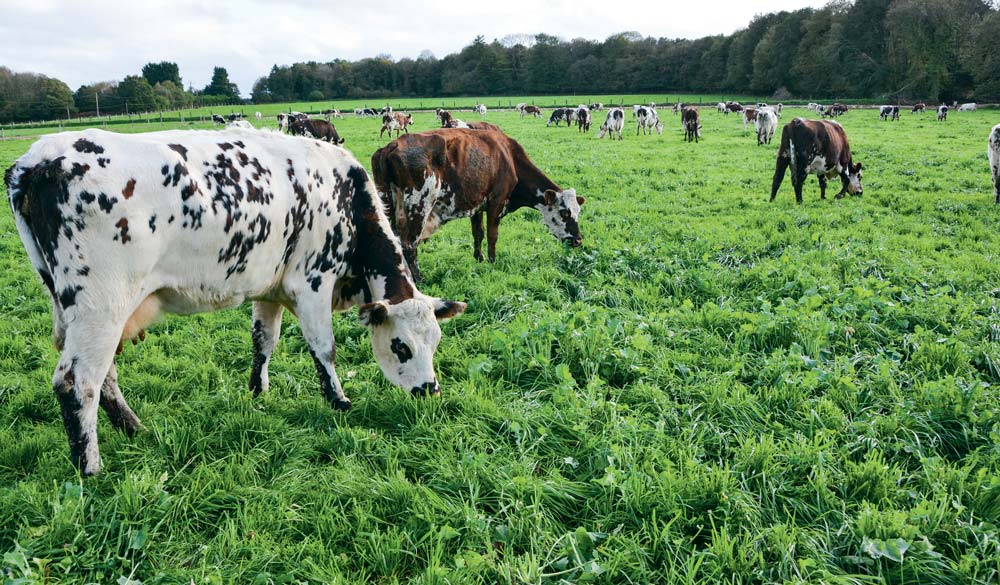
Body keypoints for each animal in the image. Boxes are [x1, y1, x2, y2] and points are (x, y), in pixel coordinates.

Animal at [5, 128, 466, 474]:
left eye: (437, 342)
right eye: (401, 346)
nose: (430, 390)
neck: (345, 194)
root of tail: (38, 159)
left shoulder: (271, 288)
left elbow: (264, 341)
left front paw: (258, 393)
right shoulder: (312, 281)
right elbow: (324, 349)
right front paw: (339, 401)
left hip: (83, 311)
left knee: (104, 376)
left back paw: (135, 430)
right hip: (102, 306)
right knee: (77, 381)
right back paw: (91, 468)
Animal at [372, 130, 584, 280]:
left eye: (578, 212)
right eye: (565, 213)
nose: (578, 240)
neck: (509, 157)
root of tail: (392, 145)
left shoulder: (476, 205)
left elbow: (478, 233)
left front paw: (479, 258)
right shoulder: (496, 202)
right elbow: (492, 235)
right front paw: (492, 261)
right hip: (419, 206)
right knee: (409, 244)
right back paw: (418, 279)